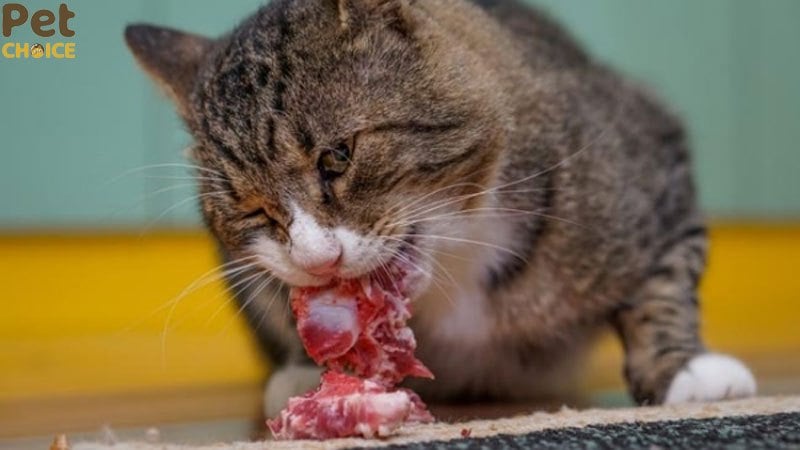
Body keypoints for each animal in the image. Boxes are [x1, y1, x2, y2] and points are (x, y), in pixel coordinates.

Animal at [125, 0, 756, 416]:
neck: (458, 266)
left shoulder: (653, 152)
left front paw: (683, 368)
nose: (317, 258)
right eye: (254, 210)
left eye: (337, 156)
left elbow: (663, 281)